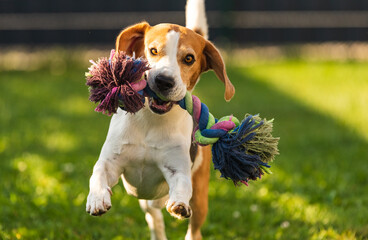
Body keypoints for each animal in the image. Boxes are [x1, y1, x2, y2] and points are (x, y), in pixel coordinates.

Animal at [85, 0, 236, 239]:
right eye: (153, 50)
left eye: (189, 58)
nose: (164, 80)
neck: (151, 120)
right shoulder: (111, 161)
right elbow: (98, 173)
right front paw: (97, 198)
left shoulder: (177, 168)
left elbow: (181, 185)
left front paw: (180, 205)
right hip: (147, 202)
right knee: (153, 216)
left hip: (200, 198)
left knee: (193, 228)